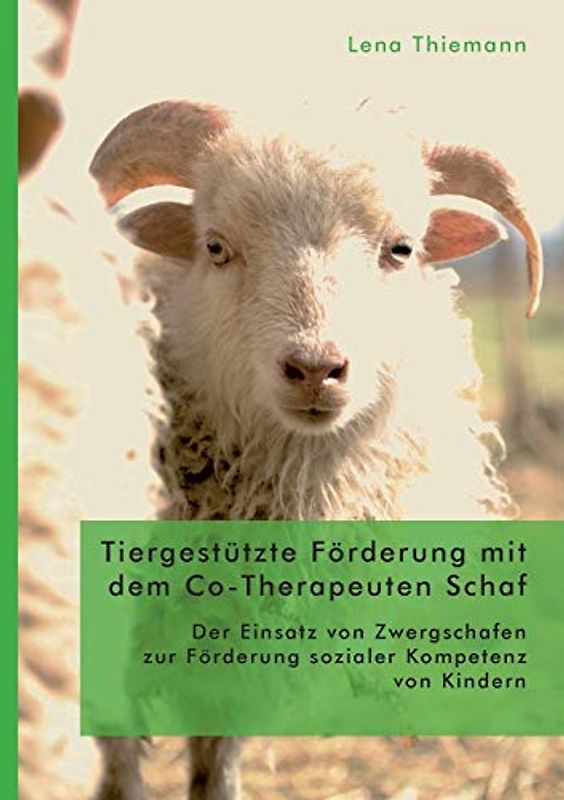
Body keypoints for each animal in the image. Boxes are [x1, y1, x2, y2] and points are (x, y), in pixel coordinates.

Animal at [89, 99, 543, 800]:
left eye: (402, 249)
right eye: (214, 247)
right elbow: (119, 772)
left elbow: (214, 767)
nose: (314, 369)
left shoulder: (234, 657)